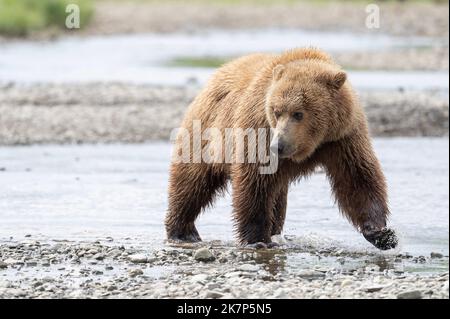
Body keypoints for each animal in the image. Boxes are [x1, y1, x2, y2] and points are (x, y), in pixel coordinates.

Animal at [165, 48, 398, 250]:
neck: (313, 143)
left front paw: (382, 234)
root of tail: (218, 73)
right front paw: (258, 240)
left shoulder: (342, 138)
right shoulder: (258, 129)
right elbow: (254, 182)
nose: (278, 145)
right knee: (191, 182)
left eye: (299, 113)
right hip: (206, 132)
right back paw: (183, 231)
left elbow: (357, 178)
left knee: (277, 198)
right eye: (276, 111)